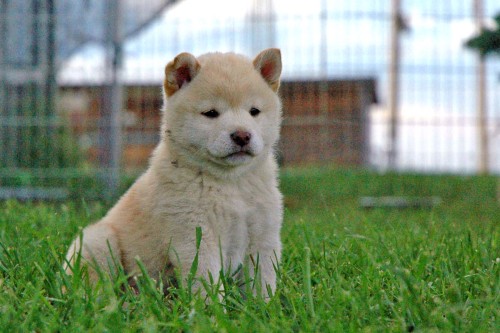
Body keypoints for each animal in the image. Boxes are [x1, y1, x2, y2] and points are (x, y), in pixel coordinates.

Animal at [65, 48, 286, 296]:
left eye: (254, 111)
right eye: (211, 113)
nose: (242, 135)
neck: (231, 183)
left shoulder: (263, 236)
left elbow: (262, 283)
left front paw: (264, 305)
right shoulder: (196, 237)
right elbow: (207, 284)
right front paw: (211, 307)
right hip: (98, 240)